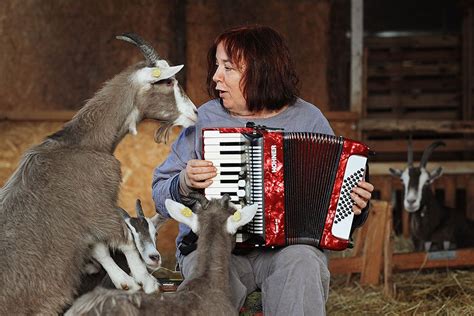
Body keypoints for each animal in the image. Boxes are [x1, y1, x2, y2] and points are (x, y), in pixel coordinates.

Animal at [0, 31, 197, 314]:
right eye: (169, 81)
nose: (195, 113)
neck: (84, 142)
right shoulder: (98, 204)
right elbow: (123, 238)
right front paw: (145, 281)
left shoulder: (86, 220)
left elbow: (99, 247)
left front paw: (125, 281)